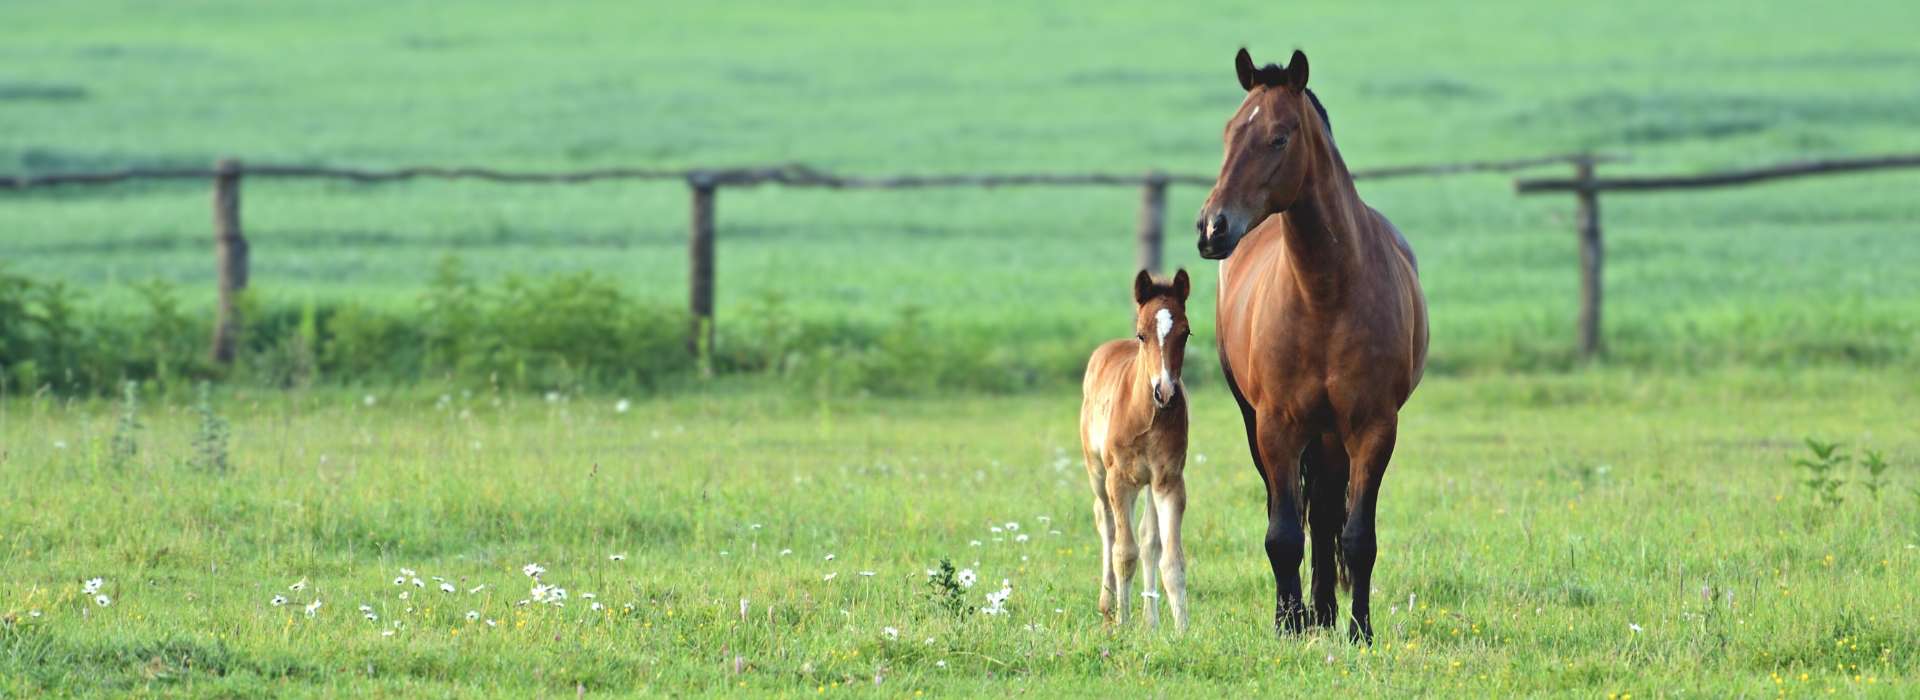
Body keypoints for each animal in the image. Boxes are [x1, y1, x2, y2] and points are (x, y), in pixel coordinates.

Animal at [1079, 269, 1194, 631]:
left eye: (1186, 333)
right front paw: (1123, 623)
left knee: (1149, 541)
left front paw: (1182, 631)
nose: (1165, 392)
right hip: (1097, 471)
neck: (1146, 415)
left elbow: (1170, 559)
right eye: (1142, 335)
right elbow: (1123, 552)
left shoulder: (1169, 481)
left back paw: (1151, 621)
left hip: (1148, 484)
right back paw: (1108, 606)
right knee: (1106, 523)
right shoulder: (1119, 480)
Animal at [1193, 48, 1428, 643]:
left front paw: (1359, 631)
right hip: (1264, 424)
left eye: (1279, 137)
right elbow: (1282, 534)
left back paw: (1325, 610)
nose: (1212, 228)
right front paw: (1288, 623)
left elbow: (1358, 537)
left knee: (1324, 514)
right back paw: (1306, 613)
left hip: (1330, 434)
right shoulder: (1275, 427)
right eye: (1229, 131)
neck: (1326, 293)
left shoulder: (1374, 428)